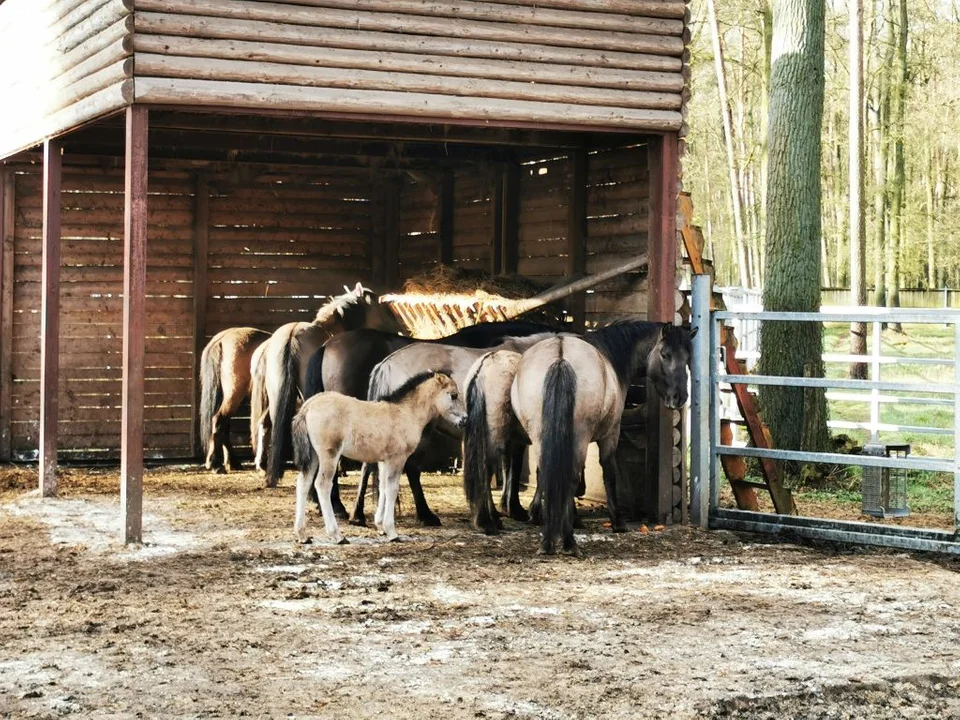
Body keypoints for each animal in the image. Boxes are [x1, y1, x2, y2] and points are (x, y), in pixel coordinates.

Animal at [197, 326, 268, 472]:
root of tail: (222, 338)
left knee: (224, 425)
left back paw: (231, 462)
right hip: (234, 394)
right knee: (219, 420)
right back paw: (215, 464)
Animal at [253, 284, 404, 486]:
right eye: (382, 306)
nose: (400, 328)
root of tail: (292, 335)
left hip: (276, 396)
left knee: (269, 423)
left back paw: (268, 469)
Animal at [290, 374, 466, 544]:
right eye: (453, 395)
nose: (464, 419)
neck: (406, 413)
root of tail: (308, 406)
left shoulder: (384, 460)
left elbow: (383, 487)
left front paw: (381, 526)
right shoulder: (397, 458)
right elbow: (392, 488)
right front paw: (392, 532)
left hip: (313, 455)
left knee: (303, 483)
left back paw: (302, 535)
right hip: (329, 454)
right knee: (322, 484)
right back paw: (338, 535)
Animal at [510, 322, 696, 556]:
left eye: (687, 358)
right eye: (665, 354)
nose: (679, 397)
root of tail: (560, 357)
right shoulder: (610, 434)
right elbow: (609, 472)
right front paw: (617, 522)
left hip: (540, 434)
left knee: (547, 471)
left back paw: (548, 541)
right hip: (579, 436)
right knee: (570, 477)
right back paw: (569, 542)